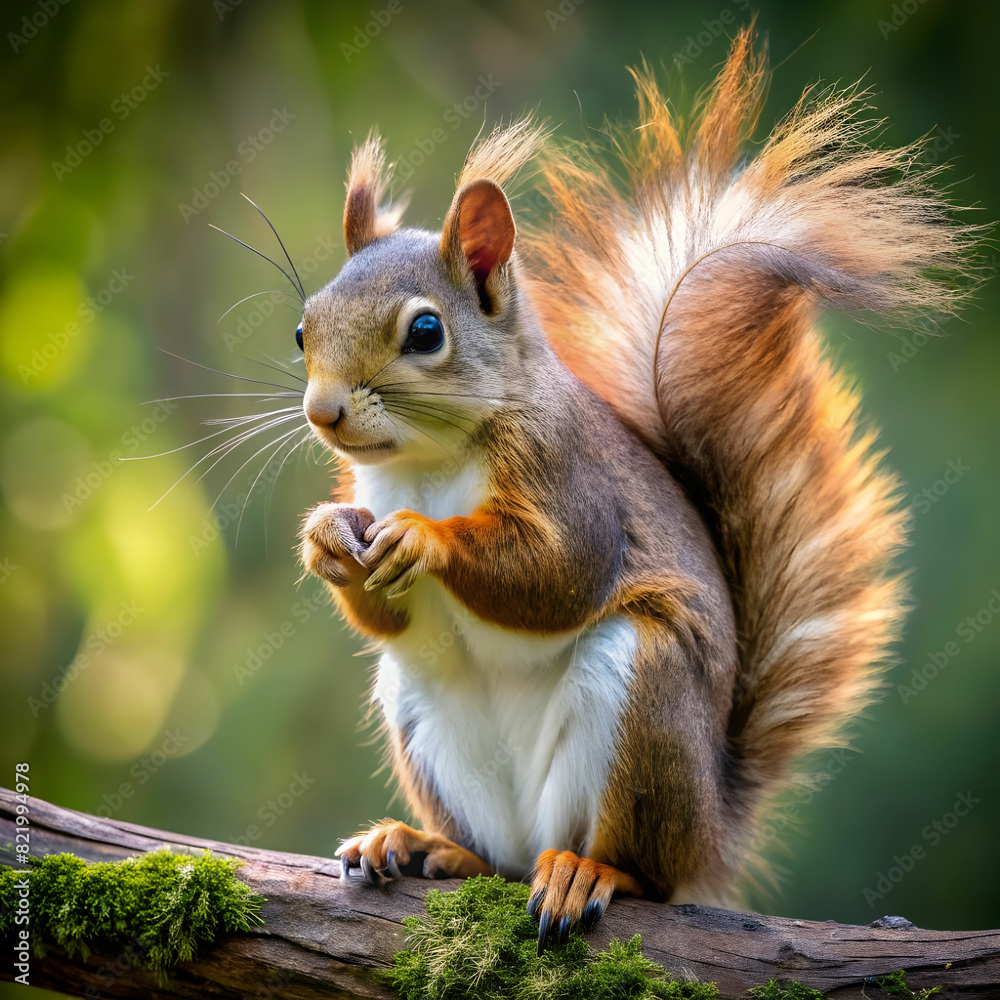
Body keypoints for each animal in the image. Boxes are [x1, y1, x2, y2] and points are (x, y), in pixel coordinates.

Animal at [297, 30, 974, 950]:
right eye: (302, 328)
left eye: (426, 331)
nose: (321, 411)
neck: (426, 461)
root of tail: (712, 831)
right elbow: (385, 614)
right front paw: (329, 538)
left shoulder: (570, 477)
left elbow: (559, 574)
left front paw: (425, 539)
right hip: (422, 713)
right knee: (493, 858)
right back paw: (425, 845)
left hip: (645, 695)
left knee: (639, 871)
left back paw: (589, 872)